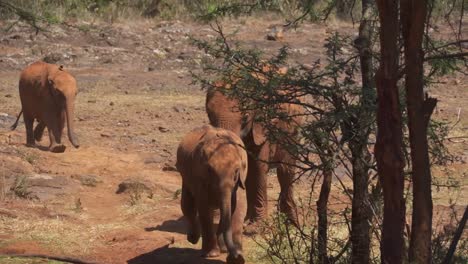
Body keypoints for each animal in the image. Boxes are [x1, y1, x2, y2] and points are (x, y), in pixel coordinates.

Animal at [176, 124, 249, 264]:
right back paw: (193, 238)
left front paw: (237, 254)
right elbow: (204, 207)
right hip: (185, 175)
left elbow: (239, 206)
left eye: (236, 172)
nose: (236, 257)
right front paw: (212, 255)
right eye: (210, 171)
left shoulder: (241, 179)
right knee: (187, 205)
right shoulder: (199, 176)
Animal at [205, 72, 304, 227]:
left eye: (245, 117)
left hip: (293, 133)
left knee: (285, 172)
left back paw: (292, 224)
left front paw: (256, 227)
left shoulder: (263, 128)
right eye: (209, 115)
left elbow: (258, 168)